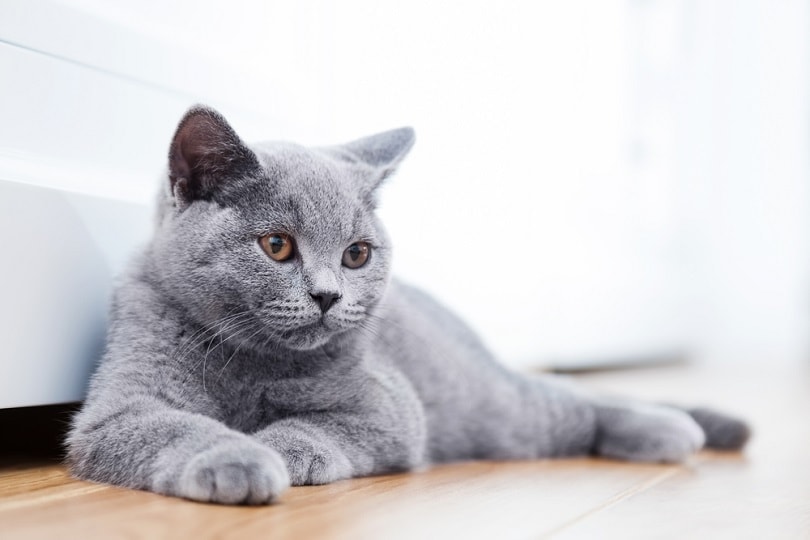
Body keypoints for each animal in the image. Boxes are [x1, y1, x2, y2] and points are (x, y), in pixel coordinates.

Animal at [66, 106, 748, 506]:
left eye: (357, 254)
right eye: (277, 245)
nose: (327, 295)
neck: (251, 365)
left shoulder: (389, 407)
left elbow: (319, 425)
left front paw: (277, 449)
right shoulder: (118, 408)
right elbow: (174, 424)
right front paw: (237, 455)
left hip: (498, 407)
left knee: (576, 402)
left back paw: (671, 429)